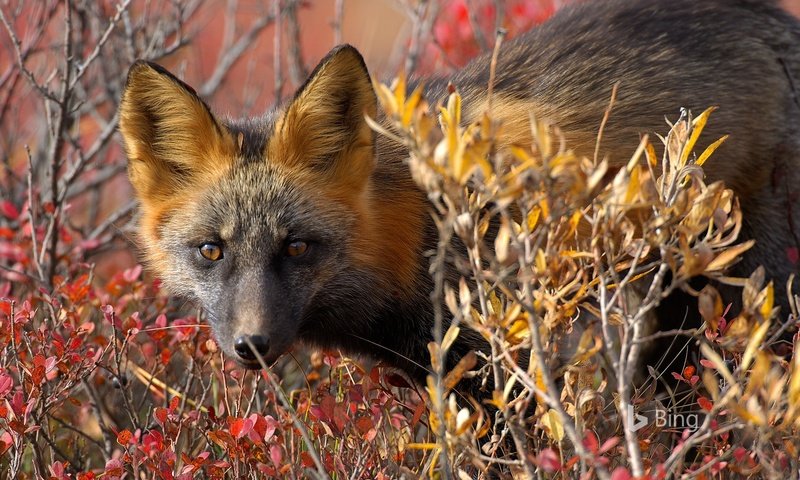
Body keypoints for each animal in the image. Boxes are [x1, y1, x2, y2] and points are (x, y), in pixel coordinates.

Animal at [117, 0, 800, 390]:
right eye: (211, 251)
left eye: (297, 247)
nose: (251, 346)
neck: (415, 235)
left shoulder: (511, 363)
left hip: (757, 297)